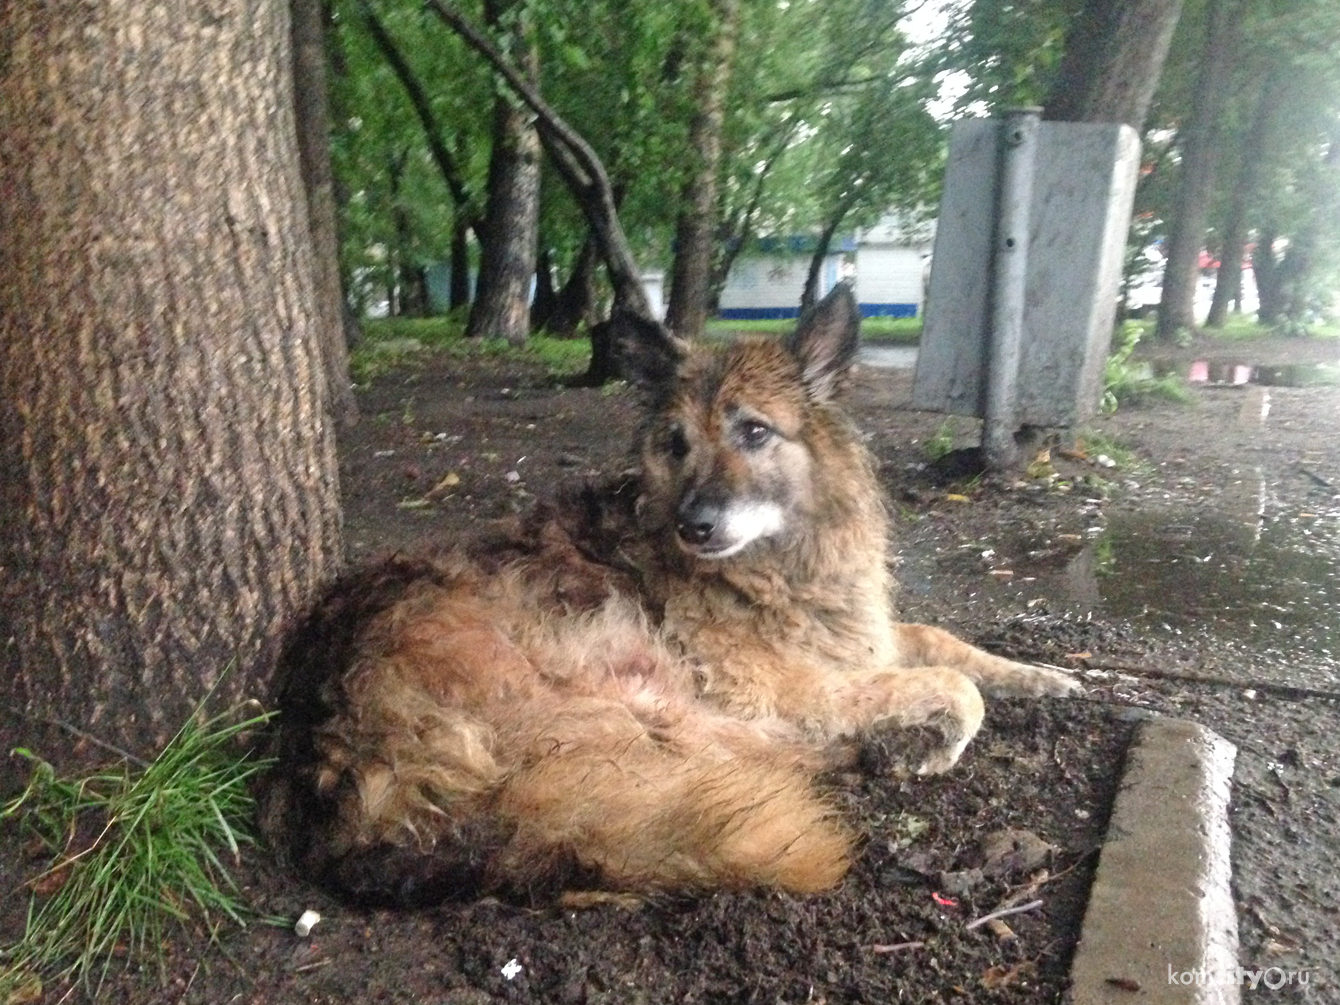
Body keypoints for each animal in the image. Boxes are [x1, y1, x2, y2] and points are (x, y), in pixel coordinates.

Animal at [263, 286, 1077, 911]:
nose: (695, 525)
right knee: (728, 754)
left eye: (755, 432)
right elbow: (949, 685)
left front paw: (1050, 677)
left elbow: (943, 641)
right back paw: (855, 752)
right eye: (677, 442)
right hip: (621, 681)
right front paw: (945, 739)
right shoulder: (782, 682)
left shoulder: (855, 634)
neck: (778, 564)